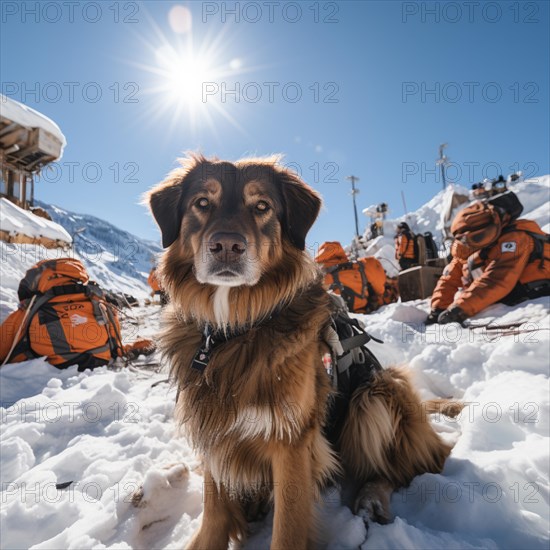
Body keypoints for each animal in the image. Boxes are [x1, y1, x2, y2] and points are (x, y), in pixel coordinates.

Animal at [147, 156, 462, 550]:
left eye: (261, 206)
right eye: (202, 203)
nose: (227, 246)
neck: (233, 331)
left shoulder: (293, 441)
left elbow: (288, 528)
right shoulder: (213, 427)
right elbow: (215, 509)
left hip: (376, 394)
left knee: (413, 464)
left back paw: (371, 497)